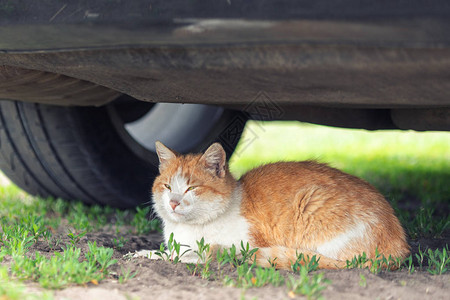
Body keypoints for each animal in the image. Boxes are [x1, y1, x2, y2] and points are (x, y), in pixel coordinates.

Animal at [142, 141, 410, 270]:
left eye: (191, 188)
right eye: (168, 186)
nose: (174, 202)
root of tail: (399, 246)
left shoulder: (246, 244)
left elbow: (194, 254)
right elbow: (169, 252)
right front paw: (146, 253)